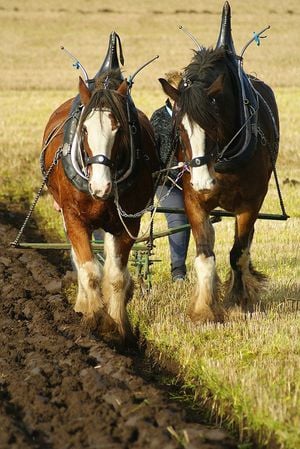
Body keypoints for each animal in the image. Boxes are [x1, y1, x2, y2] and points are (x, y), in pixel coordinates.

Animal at [42, 72, 159, 342]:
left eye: (118, 129)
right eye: (84, 129)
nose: (100, 186)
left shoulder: (128, 223)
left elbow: (116, 276)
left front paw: (116, 324)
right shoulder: (74, 218)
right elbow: (89, 271)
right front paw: (92, 317)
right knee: (80, 260)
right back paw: (82, 304)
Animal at [161, 1, 280, 320]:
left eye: (214, 125)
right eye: (179, 129)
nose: (204, 181)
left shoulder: (251, 201)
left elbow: (238, 253)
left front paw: (237, 300)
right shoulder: (193, 199)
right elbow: (205, 253)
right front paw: (204, 309)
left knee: (245, 244)